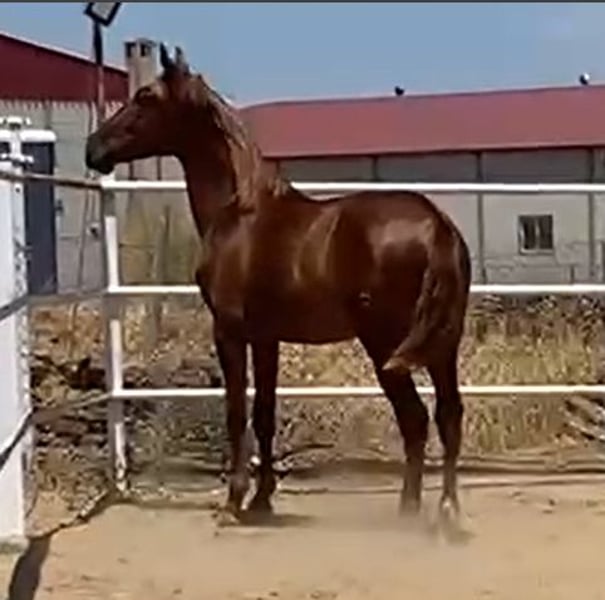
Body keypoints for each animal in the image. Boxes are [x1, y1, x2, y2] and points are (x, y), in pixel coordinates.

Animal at [85, 44, 472, 533]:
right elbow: (265, 414)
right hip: (442, 347)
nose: (93, 148)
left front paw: (234, 502)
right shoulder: (267, 338)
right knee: (447, 417)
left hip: (385, 345)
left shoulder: (230, 332)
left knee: (416, 420)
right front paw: (262, 499)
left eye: (145, 96)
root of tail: (437, 225)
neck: (238, 211)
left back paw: (411, 513)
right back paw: (445, 511)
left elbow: (237, 412)